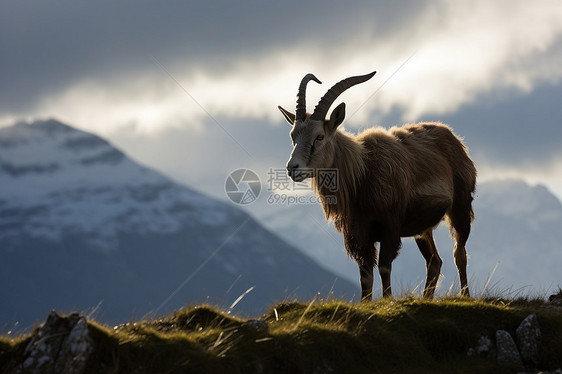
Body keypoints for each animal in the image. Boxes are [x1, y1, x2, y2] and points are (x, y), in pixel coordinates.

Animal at [278, 71, 474, 300]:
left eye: (319, 136)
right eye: (293, 136)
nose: (293, 168)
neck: (362, 174)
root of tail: (454, 140)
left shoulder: (390, 228)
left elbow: (384, 268)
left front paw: (388, 300)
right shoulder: (359, 235)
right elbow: (365, 277)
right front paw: (367, 302)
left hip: (460, 208)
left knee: (459, 254)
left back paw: (465, 295)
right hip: (422, 229)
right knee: (434, 261)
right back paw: (427, 298)